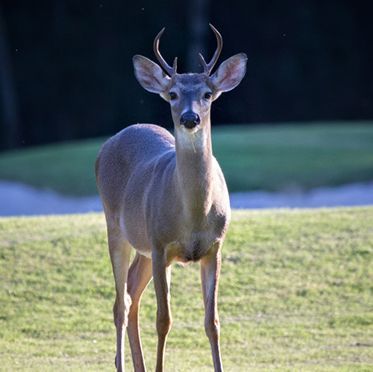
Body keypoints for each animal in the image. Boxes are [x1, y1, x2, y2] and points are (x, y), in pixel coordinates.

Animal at [96, 24, 247, 370]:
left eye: (207, 94)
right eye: (174, 94)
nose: (190, 118)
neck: (193, 214)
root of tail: (111, 141)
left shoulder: (214, 248)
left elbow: (212, 322)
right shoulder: (161, 245)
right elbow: (164, 320)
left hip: (142, 246)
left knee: (131, 294)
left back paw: (137, 366)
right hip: (116, 227)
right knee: (121, 303)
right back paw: (121, 364)